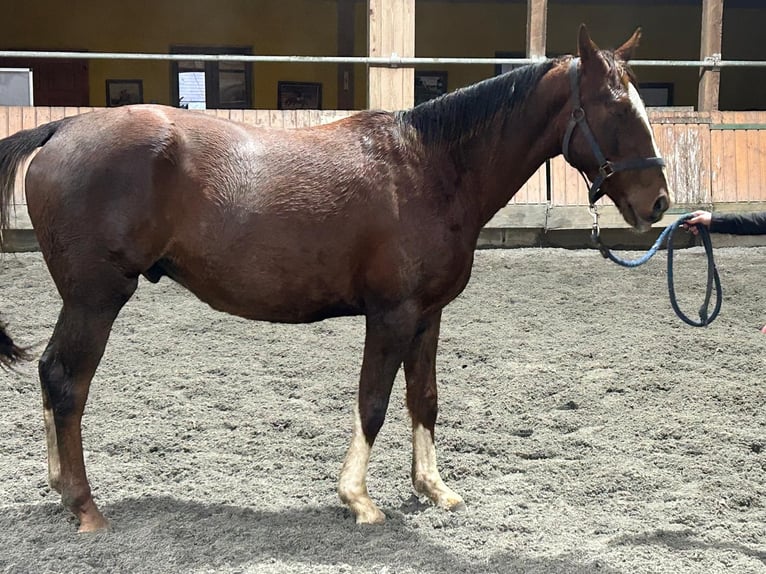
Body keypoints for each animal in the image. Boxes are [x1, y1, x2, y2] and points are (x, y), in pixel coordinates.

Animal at [0, 25, 669, 532]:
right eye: (615, 107)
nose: (658, 202)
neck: (432, 167)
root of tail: (61, 128)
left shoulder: (428, 315)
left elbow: (423, 399)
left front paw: (432, 488)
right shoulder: (391, 314)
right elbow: (373, 401)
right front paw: (359, 499)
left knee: (51, 374)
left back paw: (61, 488)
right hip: (96, 299)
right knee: (66, 381)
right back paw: (85, 506)